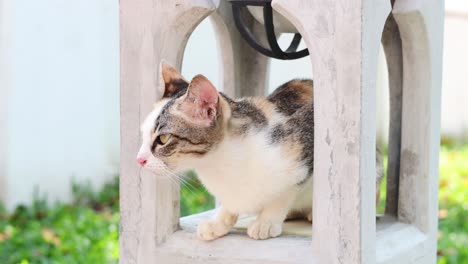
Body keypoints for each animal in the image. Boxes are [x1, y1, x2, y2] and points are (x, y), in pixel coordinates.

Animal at [136, 62, 384, 241]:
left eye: (163, 139)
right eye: (143, 135)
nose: (139, 160)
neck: (220, 165)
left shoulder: (305, 147)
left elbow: (284, 192)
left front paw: (267, 221)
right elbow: (233, 202)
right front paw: (219, 221)